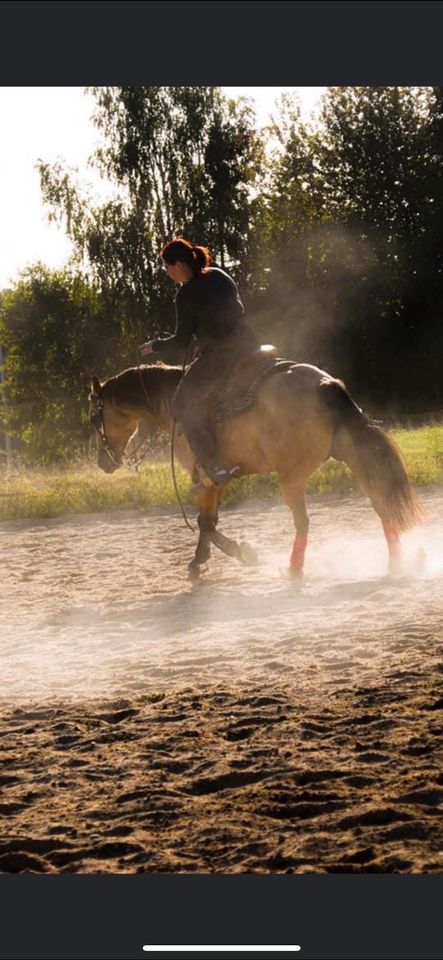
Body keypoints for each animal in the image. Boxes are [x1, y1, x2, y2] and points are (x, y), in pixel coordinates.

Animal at [87, 350, 424, 580]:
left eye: (93, 417)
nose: (103, 462)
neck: (172, 406)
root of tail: (323, 383)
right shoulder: (218, 480)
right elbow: (208, 521)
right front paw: (202, 558)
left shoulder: (203, 478)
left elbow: (205, 523)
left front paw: (240, 553)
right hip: (354, 456)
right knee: (382, 503)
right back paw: (395, 562)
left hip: (292, 477)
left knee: (303, 522)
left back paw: (293, 569)